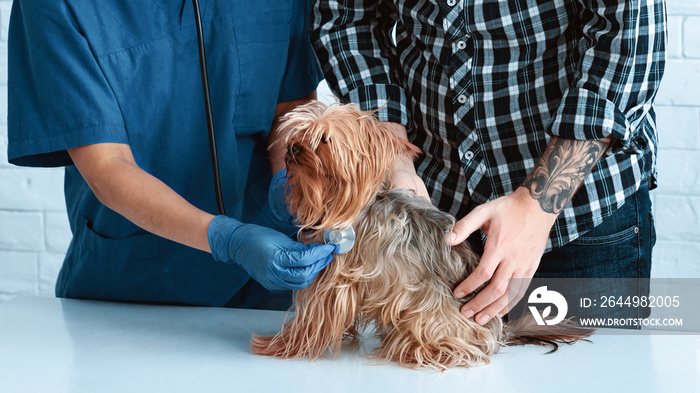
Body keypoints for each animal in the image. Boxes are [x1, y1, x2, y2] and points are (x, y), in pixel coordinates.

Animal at [249, 102, 588, 370]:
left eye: (323, 140)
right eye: (300, 133)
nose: (293, 147)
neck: (350, 205)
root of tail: (497, 330)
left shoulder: (333, 279)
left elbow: (310, 320)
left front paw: (278, 346)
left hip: (429, 316)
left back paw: (417, 351)